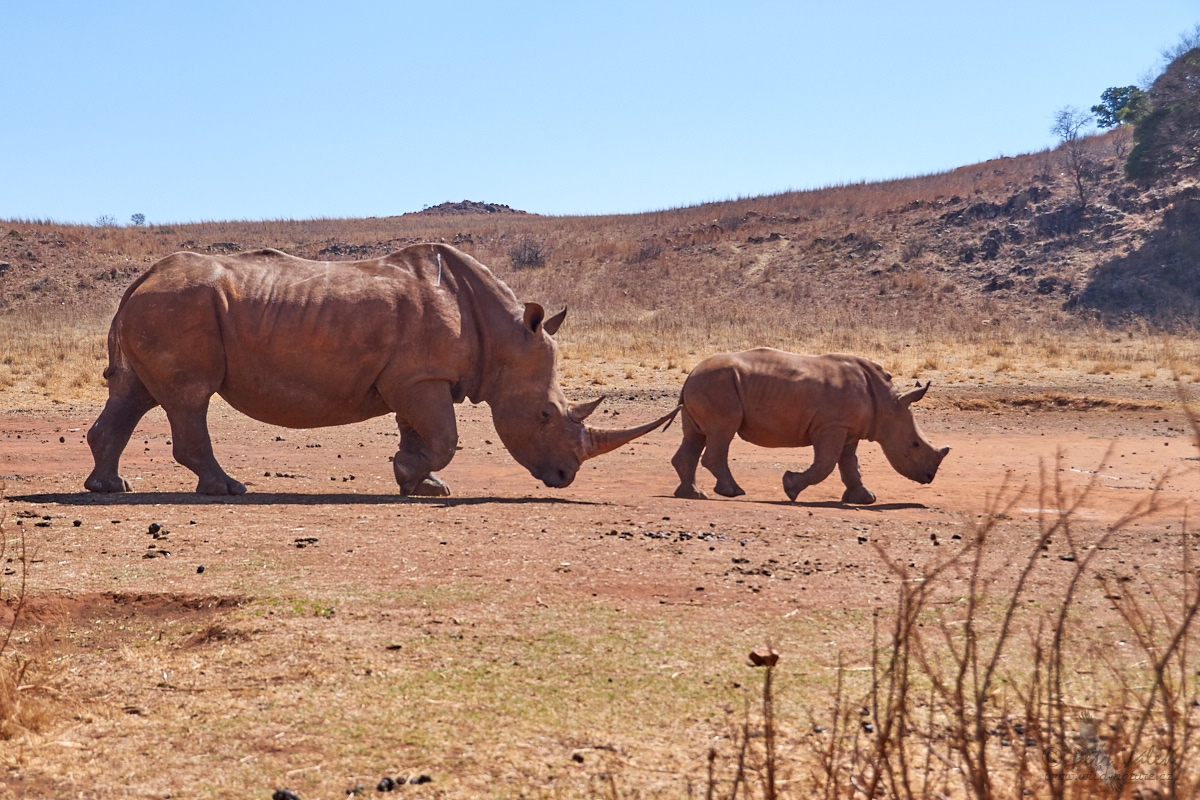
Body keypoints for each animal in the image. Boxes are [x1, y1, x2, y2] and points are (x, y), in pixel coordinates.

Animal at [87, 244, 681, 494]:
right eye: (544, 416)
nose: (565, 478)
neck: (504, 334)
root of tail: (140, 279)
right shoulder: (421, 378)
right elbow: (443, 437)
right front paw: (406, 475)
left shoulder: (415, 378)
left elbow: (421, 432)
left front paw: (425, 484)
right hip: (178, 306)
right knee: (190, 397)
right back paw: (229, 489)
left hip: (164, 305)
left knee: (135, 395)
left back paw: (111, 487)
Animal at [676, 347, 945, 503]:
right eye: (915, 444)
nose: (930, 477)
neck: (888, 404)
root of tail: (691, 373)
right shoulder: (831, 426)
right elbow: (825, 464)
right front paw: (790, 488)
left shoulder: (847, 429)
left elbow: (849, 464)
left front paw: (865, 498)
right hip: (715, 384)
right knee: (722, 432)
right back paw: (732, 492)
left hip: (706, 384)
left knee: (696, 436)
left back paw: (693, 494)